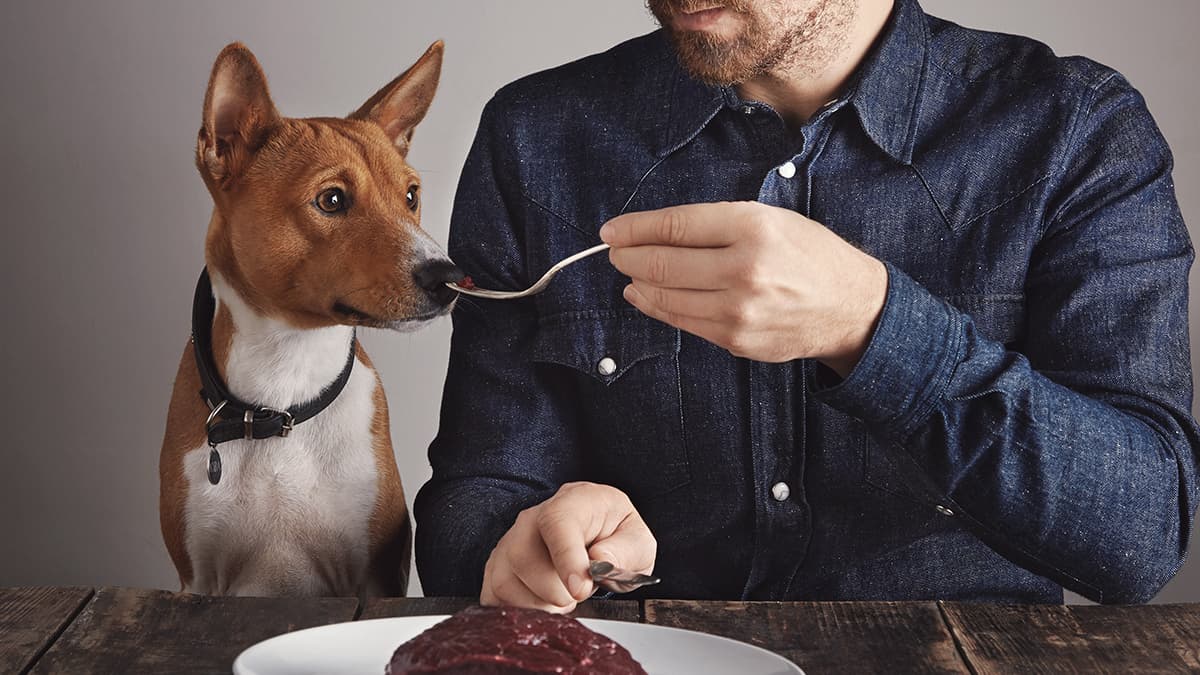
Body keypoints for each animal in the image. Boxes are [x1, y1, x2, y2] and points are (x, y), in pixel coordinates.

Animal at [159, 40, 458, 593]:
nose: (449, 276)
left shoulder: (373, 574)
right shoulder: (199, 580)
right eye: (332, 199)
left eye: (410, 196)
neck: (283, 394)